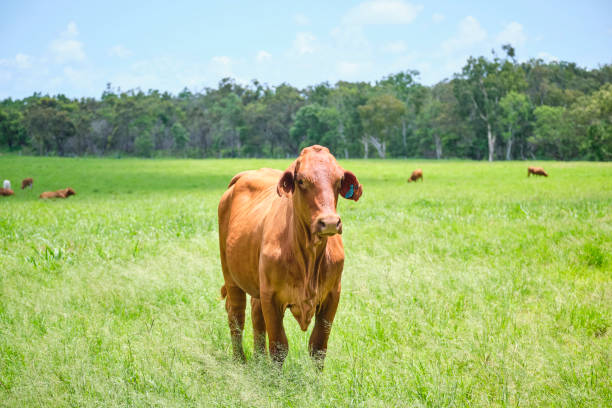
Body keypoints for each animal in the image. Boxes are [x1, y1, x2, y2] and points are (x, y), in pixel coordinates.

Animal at [219, 145, 364, 368]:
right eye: (301, 180)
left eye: (339, 180)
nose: (330, 222)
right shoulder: (271, 297)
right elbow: (279, 347)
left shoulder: (332, 295)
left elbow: (318, 346)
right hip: (231, 277)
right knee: (236, 316)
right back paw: (239, 361)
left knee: (256, 315)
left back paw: (259, 361)